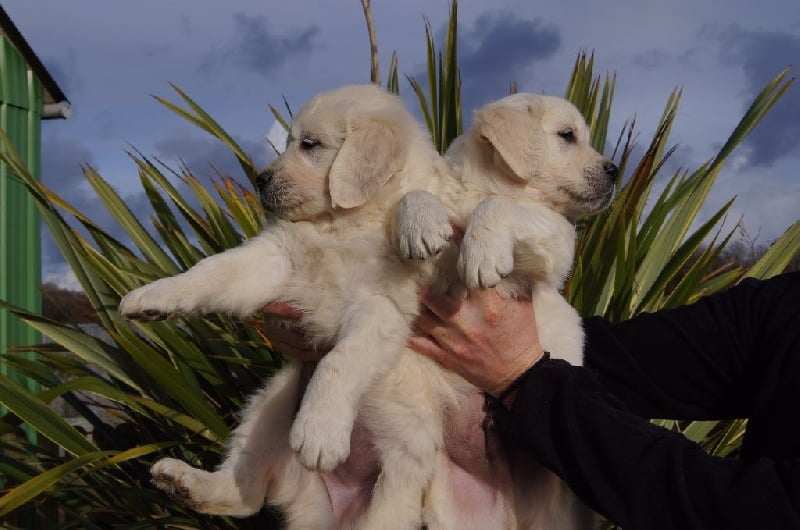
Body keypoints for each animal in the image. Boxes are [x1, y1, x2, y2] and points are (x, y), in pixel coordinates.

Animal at [120, 84, 620, 524]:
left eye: (310, 145)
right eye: (568, 136)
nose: (259, 180)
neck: (345, 223)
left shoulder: (390, 308)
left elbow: (341, 359)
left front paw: (319, 432)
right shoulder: (277, 256)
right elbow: (213, 271)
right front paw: (152, 297)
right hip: (276, 398)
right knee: (246, 492)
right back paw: (185, 481)